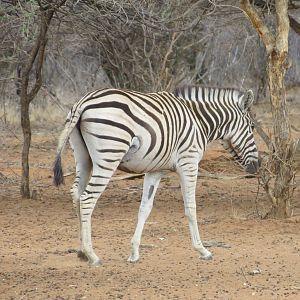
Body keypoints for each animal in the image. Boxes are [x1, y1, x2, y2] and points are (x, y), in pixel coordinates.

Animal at [54, 86, 260, 264]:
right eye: (252, 127)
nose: (257, 166)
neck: (199, 121)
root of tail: (83, 102)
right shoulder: (189, 163)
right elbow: (191, 207)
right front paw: (203, 250)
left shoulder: (155, 170)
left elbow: (145, 209)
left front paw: (134, 253)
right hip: (109, 156)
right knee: (87, 198)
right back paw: (92, 255)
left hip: (84, 158)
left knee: (77, 194)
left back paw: (81, 251)